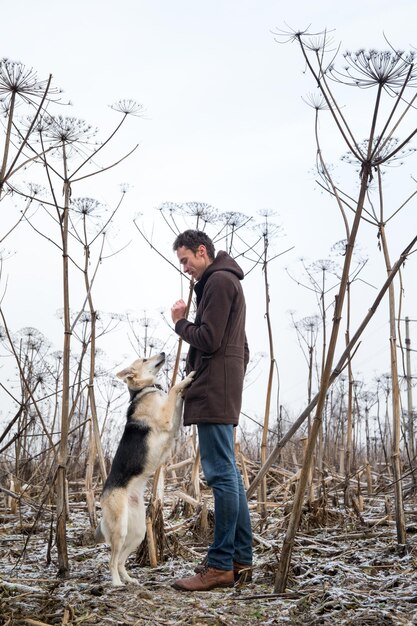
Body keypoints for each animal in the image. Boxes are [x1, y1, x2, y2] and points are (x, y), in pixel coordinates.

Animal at [94, 352, 195, 584]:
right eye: (144, 359)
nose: (163, 353)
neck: (145, 389)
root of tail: (102, 497)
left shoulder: (173, 419)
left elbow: (177, 397)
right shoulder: (166, 418)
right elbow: (174, 389)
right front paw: (187, 378)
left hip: (138, 533)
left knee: (121, 560)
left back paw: (129, 581)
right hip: (120, 529)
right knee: (112, 561)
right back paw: (116, 583)